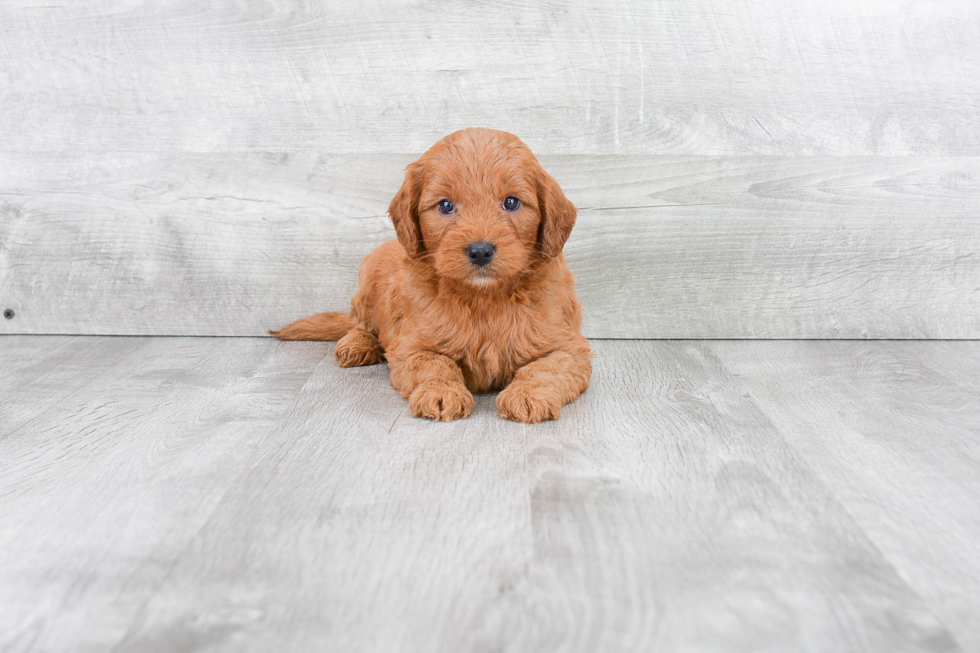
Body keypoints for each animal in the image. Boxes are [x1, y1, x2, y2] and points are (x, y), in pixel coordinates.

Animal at [268, 127, 588, 422]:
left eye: (511, 202)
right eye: (445, 205)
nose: (480, 251)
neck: (484, 298)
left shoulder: (569, 346)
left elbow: (546, 368)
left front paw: (528, 395)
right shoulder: (410, 346)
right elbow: (433, 363)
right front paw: (441, 392)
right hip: (367, 278)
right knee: (359, 323)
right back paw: (357, 345)